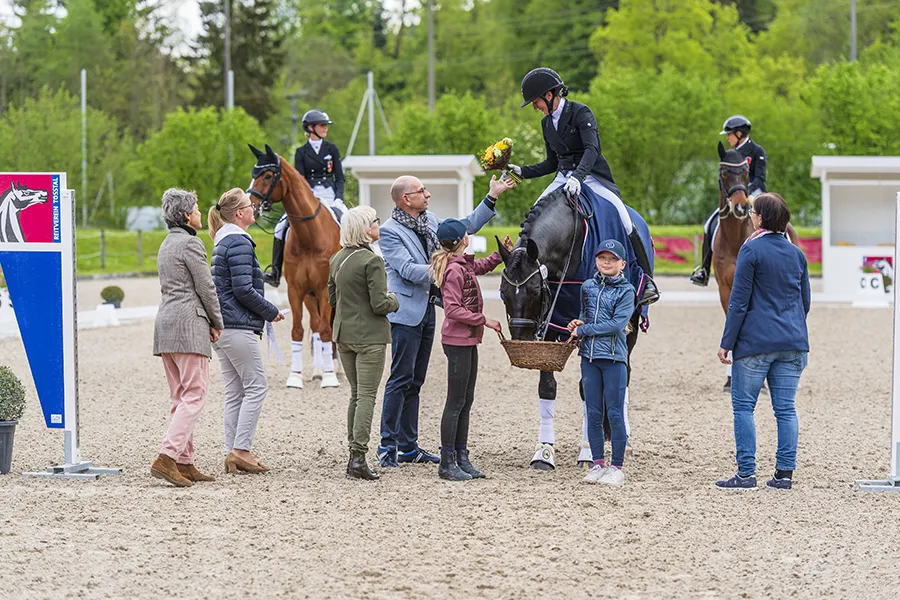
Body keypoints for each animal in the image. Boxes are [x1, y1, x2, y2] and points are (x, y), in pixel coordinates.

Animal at [246, 144, 342, 390]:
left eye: (268, 175)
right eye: (253, 173)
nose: (252, 207)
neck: (309, 235)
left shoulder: (324, 291)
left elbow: (328, 329)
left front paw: (330, 377)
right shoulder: (296, 290)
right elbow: (298, 329)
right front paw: (295, 377)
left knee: (329, 325)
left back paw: (335, 368)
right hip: (310, 296)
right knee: (316, 325)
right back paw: (318, 370)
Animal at [496, 190, 652, 472]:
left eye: (534, 290)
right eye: (503, 292)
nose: (521, 339)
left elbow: (588, 388)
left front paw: (588, 452)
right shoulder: (550, 326)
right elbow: (547, 387)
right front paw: (544, 453)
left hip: (630, 326)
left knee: (624, 374)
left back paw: (622, 436)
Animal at [716, 142, 800, 390]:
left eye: (745, 172)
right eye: (724, 172)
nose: (740, 208)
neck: (734, 238)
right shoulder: (725, 288)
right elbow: (730, 323)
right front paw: (730, 378)